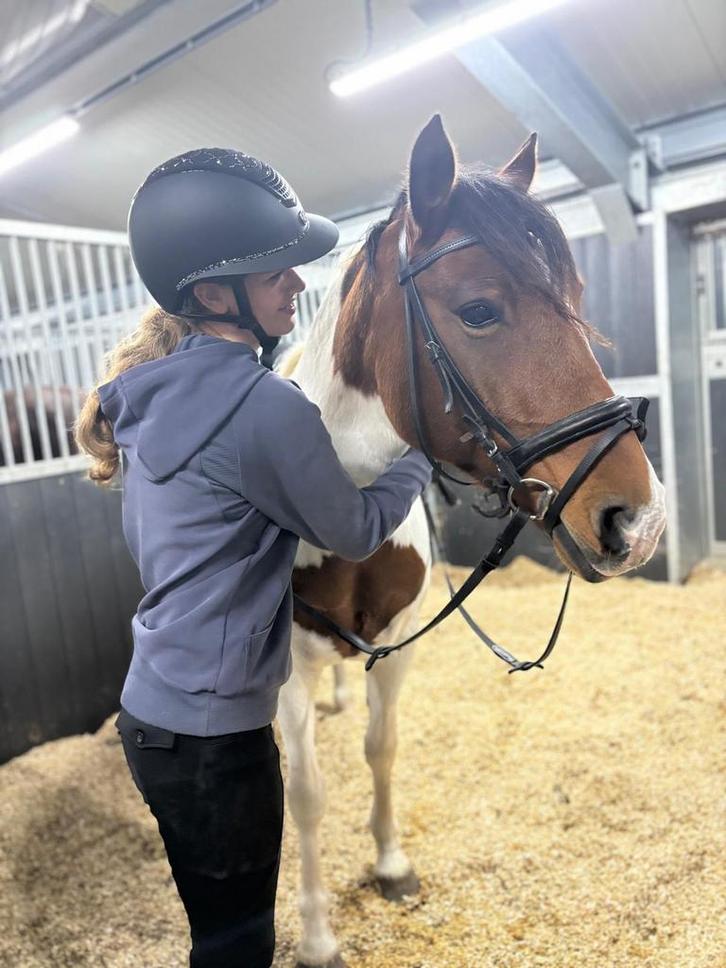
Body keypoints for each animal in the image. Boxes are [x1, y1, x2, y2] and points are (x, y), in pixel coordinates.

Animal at [276, 114, 666, 968]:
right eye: (480, 311)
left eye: (574, 300)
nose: (640, 522)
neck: (342, 505)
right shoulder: (285, 665)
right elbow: (307, 794)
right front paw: (317, 934)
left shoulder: (396, 643)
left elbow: (381, 748)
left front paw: (391, 865)